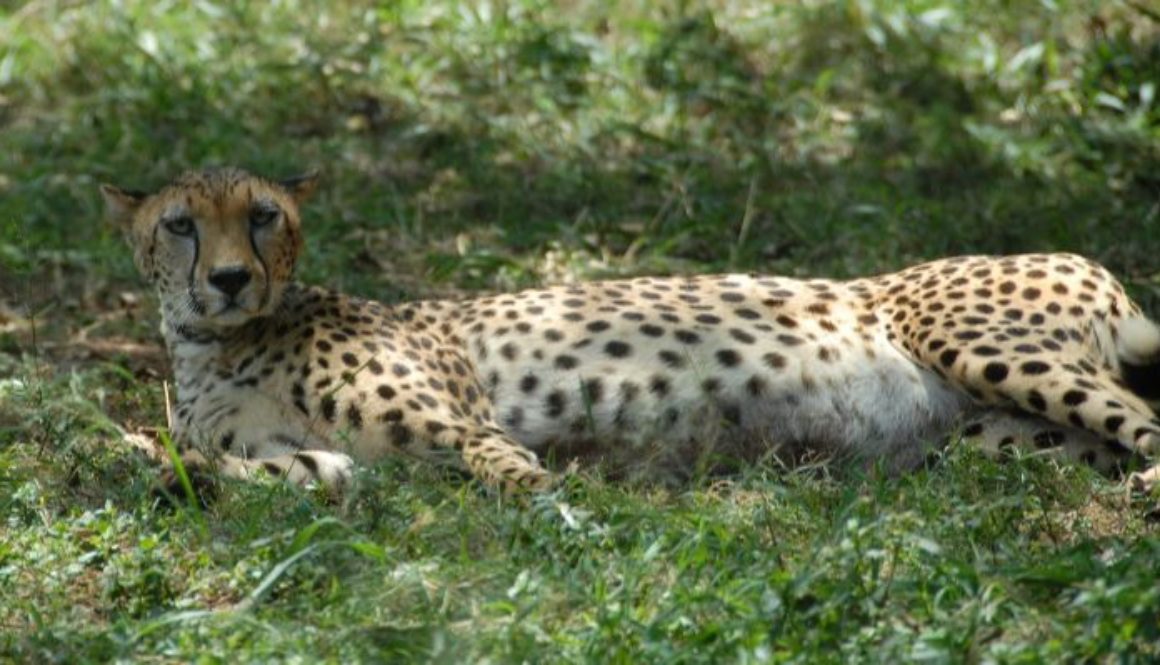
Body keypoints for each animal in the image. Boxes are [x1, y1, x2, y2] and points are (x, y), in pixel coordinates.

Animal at [102, 168, 1160, 494]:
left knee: (1149, 427)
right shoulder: (288, 452)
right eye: (182, 223)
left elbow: (512, 472)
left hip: (989, 349)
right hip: (994, 434)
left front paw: (555, 514)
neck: (219, 344)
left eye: (264, 215)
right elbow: (228, 462)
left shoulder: (467, 425)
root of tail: (1093, 264)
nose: (229, 278)